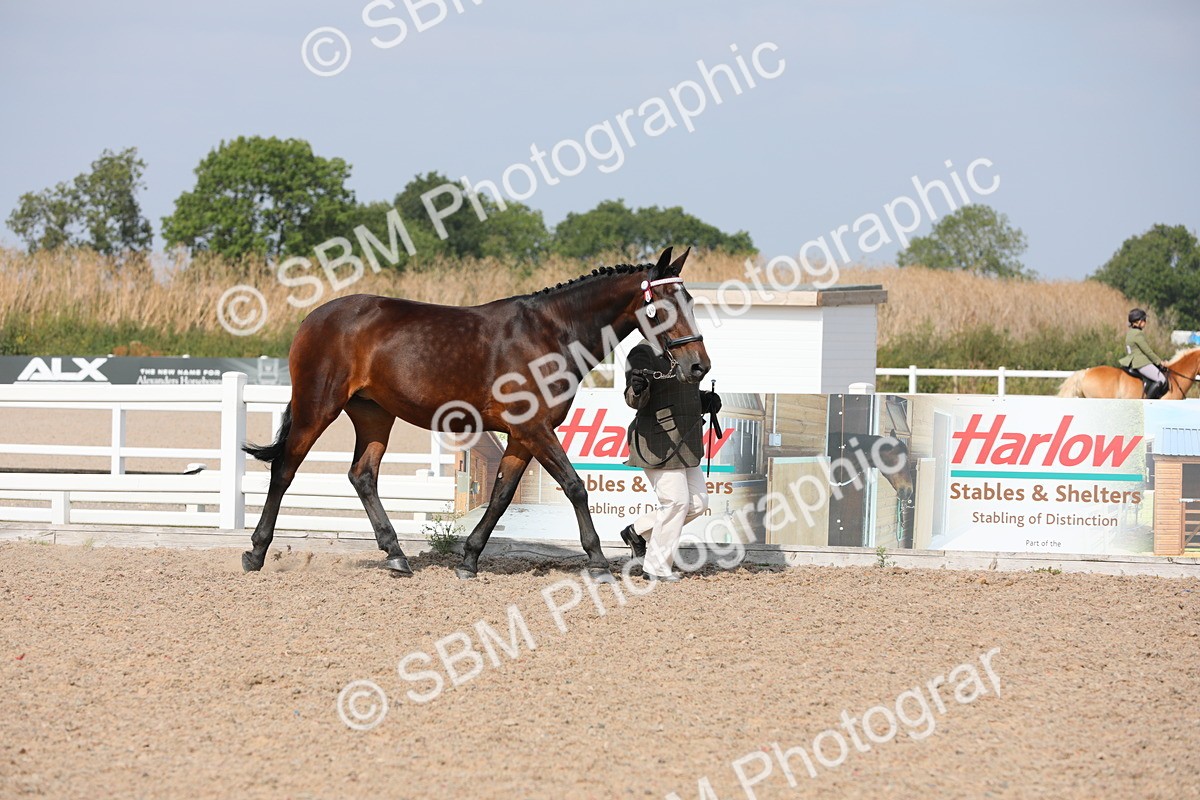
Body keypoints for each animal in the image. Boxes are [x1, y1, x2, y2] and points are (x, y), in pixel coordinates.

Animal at [239, 247, 710, 580]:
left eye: (690, 299)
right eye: (664, 304)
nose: (698, 366)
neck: (550, 333)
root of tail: (313, 319)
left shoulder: (522, 434)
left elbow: (502, 495)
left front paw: (468, 559)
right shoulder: (535, 428)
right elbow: (575, 487)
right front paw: (596, 561)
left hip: (374, 415)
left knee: (362, 475)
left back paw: (396, 556)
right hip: (317, 407)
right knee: (284, 469)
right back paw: (256, 551)